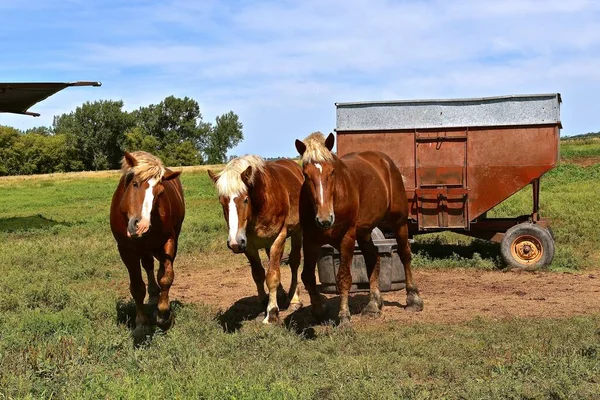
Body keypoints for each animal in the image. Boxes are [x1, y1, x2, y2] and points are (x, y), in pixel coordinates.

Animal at [109, 150, 185, 338]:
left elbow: (166, 277)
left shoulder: (169, 242)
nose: (141, 226)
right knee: (148, 265)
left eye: (160, 192)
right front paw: (141, 324)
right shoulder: (126, 250)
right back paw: (152, 295)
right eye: (135, 184)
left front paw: (164, 316)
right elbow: (137, 287)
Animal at [210, 155, 304, 324]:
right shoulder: (249, 246)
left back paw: (294, 299)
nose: (234, 242)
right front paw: (264, 303)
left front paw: (272, 313)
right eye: (222, 201)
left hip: (297, 232)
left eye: (246, 199)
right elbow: (259, 274)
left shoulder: (278, 239)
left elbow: (272, 276)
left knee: (294, 263)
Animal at [294, 131, 424, 324]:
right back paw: (373, 304)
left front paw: (344, 317)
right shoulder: (310, 240)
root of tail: (385, 162)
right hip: (364, 231)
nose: (325, 219)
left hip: (399, 222)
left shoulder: (347, 238)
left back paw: (413, 299)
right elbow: (307, 276)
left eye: (332, 172)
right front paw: (319, 308)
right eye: (306, 174)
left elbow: (344, 277)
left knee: (405, 254)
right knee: (373, 258)